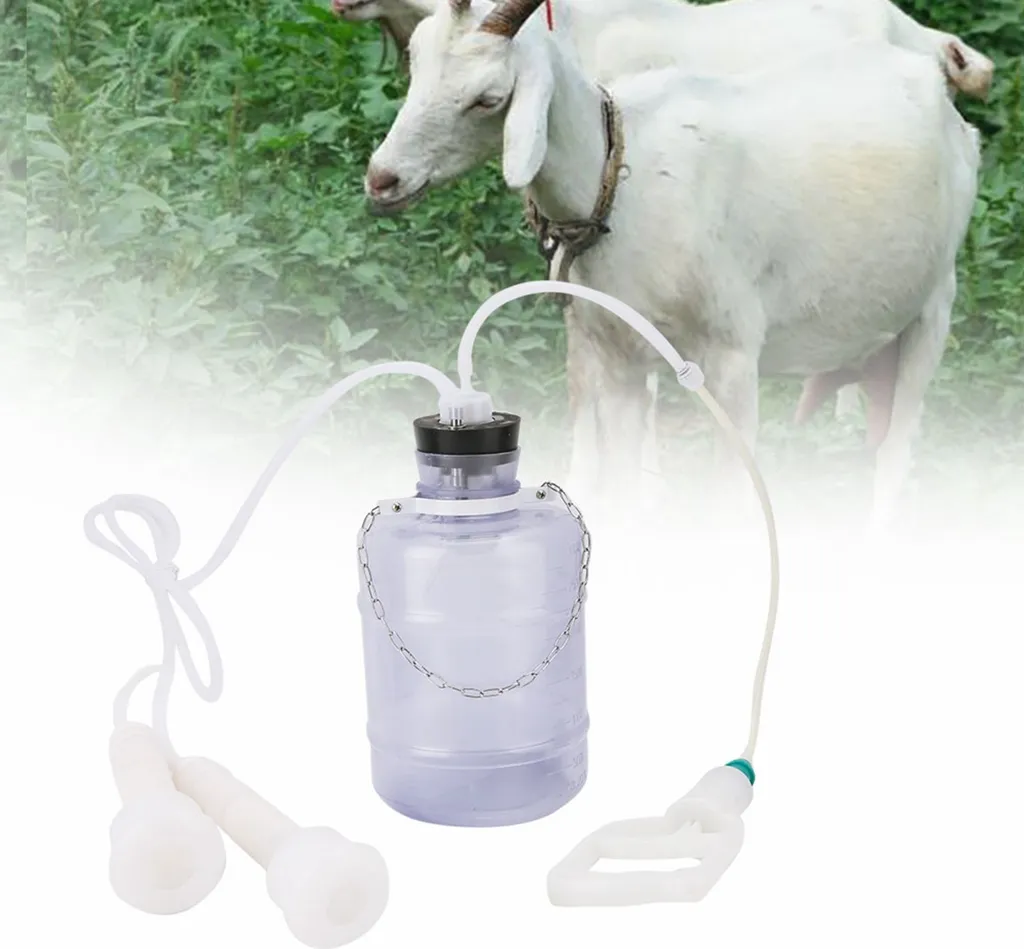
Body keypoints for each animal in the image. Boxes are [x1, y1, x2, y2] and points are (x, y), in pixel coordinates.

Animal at [364, 0, 980, 526]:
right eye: (416, 63)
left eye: (488, 98)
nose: (383, 179)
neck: (618, 178)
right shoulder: (616, 359)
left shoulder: (733, 356)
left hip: (934, 306)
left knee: (896, 455)